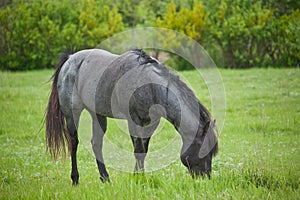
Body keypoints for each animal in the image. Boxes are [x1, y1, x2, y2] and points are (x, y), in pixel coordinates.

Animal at [45, 48, 218, 184]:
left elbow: (143, 150)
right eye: (203, 151)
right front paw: (138, 177)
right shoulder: (133, 121)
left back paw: (105, 178)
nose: (205, 178)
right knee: (74, 142)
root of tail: (69, 59)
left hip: (98, 114)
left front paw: (139, 175)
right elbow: (138, 149)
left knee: (96, 144)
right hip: (71, 113)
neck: (149, 86)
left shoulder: (151, 123)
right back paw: (75, 178)